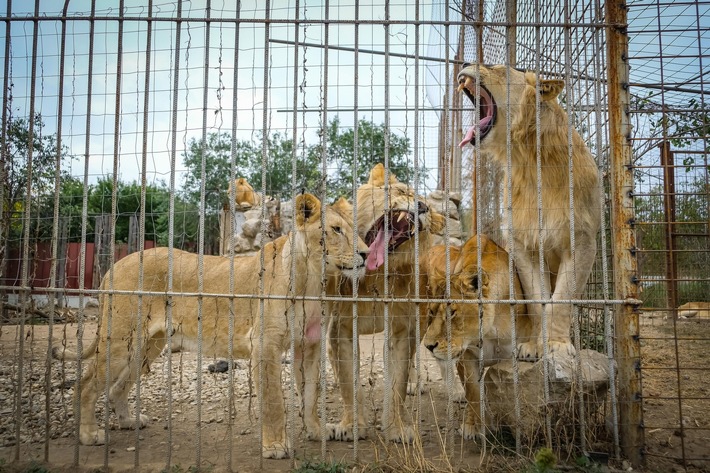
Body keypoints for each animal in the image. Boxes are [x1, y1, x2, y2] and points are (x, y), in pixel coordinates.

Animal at [52, 192, 370, 458]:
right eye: (336, 230)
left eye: (355, 230)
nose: (366, 254)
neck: (315, 278)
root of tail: (114, 267)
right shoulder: (265, 345)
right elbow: (274, 402)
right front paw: (276, 446)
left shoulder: (310, 345)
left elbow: (310, 394)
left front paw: (317, 431)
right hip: (119, 341)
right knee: (85, 385)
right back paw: (89, 435)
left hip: (146, 345)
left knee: (117, 387)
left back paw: (129, 421)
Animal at [328, 162, 444, 442]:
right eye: (401, 191)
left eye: (427, 205)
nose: (421, 207)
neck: (375, 276)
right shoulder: (341, 328)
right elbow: (348, 380)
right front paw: (351, 426)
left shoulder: (402, 328)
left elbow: (398, 382)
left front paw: (396, 429)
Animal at [422, 234, 536, 436]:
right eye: (432, 312)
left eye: (451, 313)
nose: (429, 346)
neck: (489, 330)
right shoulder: (465, 357)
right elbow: (473, 392)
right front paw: (479, 426)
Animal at [458, 63, 604, 358]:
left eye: (497, 68)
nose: (464, 65)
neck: (528, 159)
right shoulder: (523, 244)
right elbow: (539, 302)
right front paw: (535, 345)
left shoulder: (582, 240)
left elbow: (562, 299)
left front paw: (558, 345)